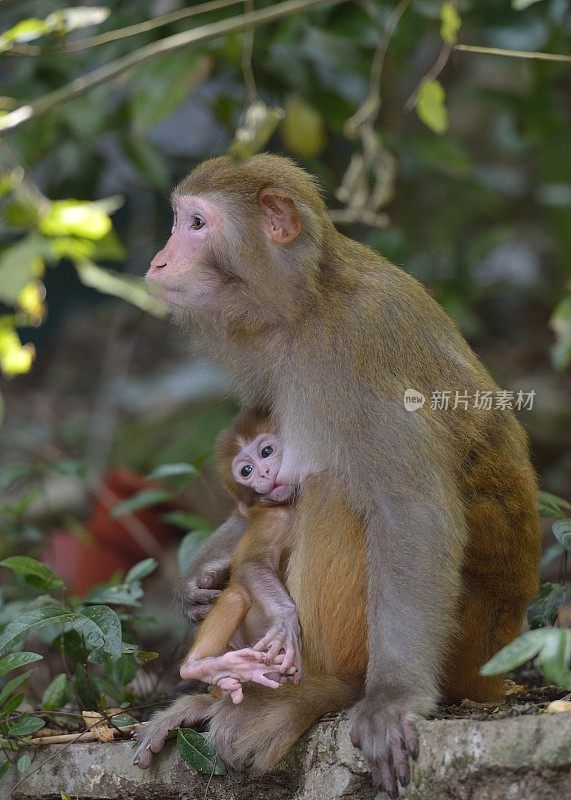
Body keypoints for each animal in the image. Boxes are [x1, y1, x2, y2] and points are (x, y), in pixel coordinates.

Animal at [181, 410, 302, 704]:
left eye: (267, 451)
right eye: (246, 471)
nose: (264, 472)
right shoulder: (273, 520)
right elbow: (252, 564)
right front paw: (285, 619)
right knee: (237, 595)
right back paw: (204, 667)